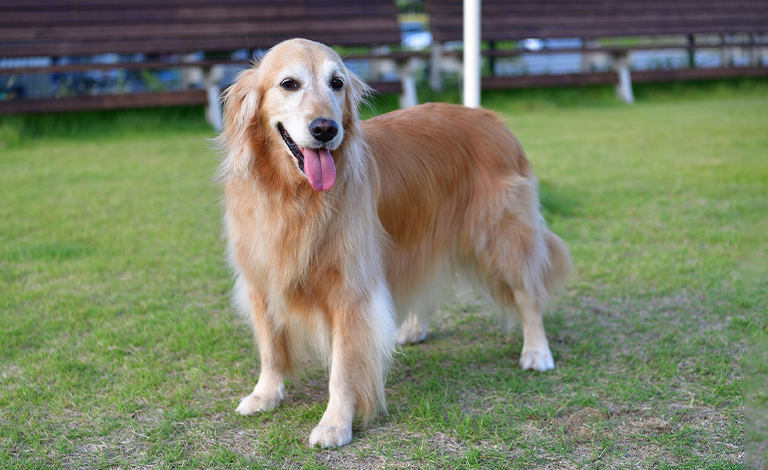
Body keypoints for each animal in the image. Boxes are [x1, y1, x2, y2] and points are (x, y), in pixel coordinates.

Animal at [218, 38, 568, 446]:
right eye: (289, 83)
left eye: (337, 83)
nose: (325, 129)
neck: (293, 195)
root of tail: (493, 118)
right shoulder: (260, 276)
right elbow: (270, 347)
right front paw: (265, 394)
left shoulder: (350, 290)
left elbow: (343, 366)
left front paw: (335, 423)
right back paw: (413, 329)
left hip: (504, 236)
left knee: (528, 293)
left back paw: (537, 351)